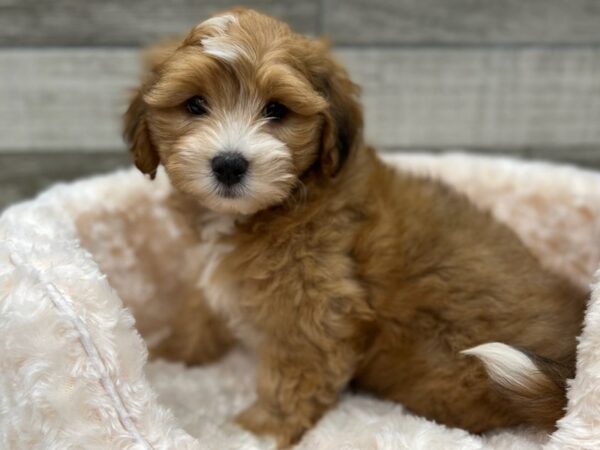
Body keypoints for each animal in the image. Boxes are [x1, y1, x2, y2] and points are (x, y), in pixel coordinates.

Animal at [124, 8, 588, 448]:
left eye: (276, 109)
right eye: (194, 105)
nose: (229, 164)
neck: (274, 206)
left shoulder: (316, 308)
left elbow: (292, 374)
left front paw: (255, 434)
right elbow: (197, 311)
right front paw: (168, 355)